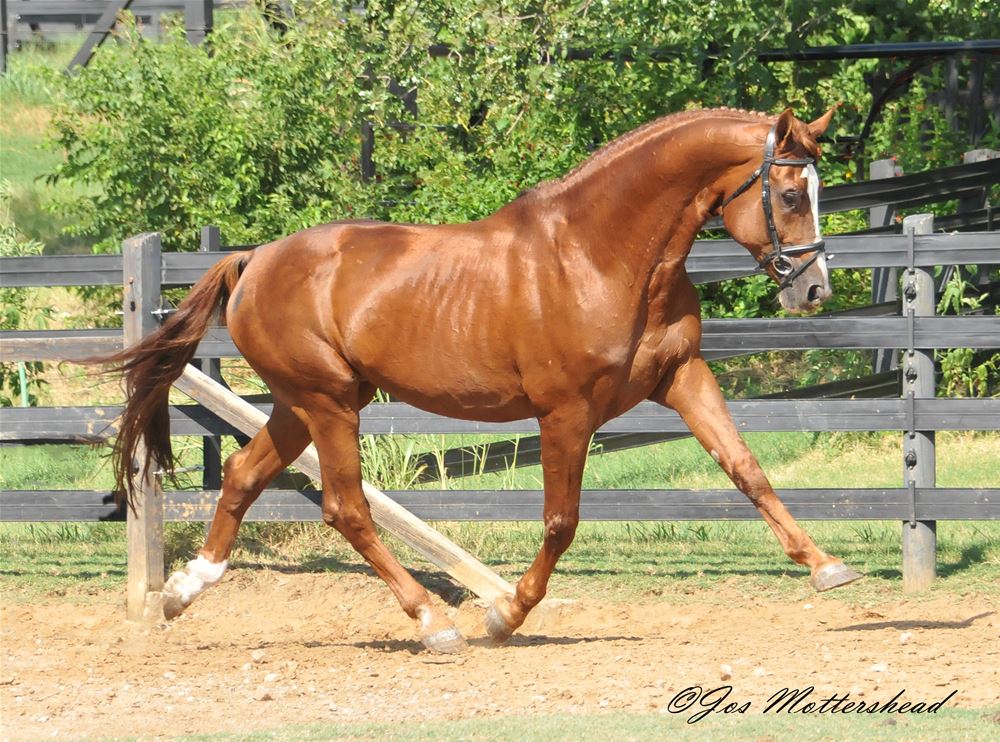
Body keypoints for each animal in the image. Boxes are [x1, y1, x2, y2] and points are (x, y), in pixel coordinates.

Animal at [102, 106, 862, 654]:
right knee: (346, 508)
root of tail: (254, 260)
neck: (602, 253)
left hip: (302, 405)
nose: (814, 289)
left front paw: (826, 566)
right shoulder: (566, 412)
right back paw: (434, 623)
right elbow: (561, 522)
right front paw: (503, 616)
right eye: (790, 193)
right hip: (327, 404)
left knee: (241, 476)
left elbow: (746, 469)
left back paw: (179, 593)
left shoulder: (681, 377)